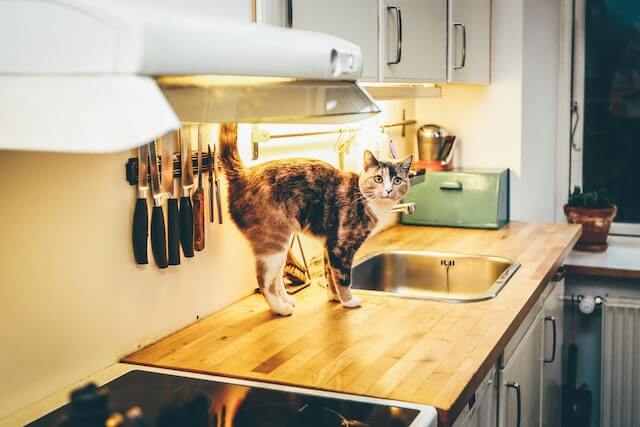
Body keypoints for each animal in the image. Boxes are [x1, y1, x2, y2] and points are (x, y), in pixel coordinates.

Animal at [218, 122, 412, 316]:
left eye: (397, 180)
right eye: (378, 178)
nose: (388, 190)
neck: (366, 199)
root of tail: (243, 174)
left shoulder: (329, 244)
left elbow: (330, 274)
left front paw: (334, 298)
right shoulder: (341, 247)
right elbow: (343, 278)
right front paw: (348, 301)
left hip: (281, 246)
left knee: (277, 277)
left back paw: (287, 299)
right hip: (273, 242)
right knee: (264, 280)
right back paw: (281, 308)